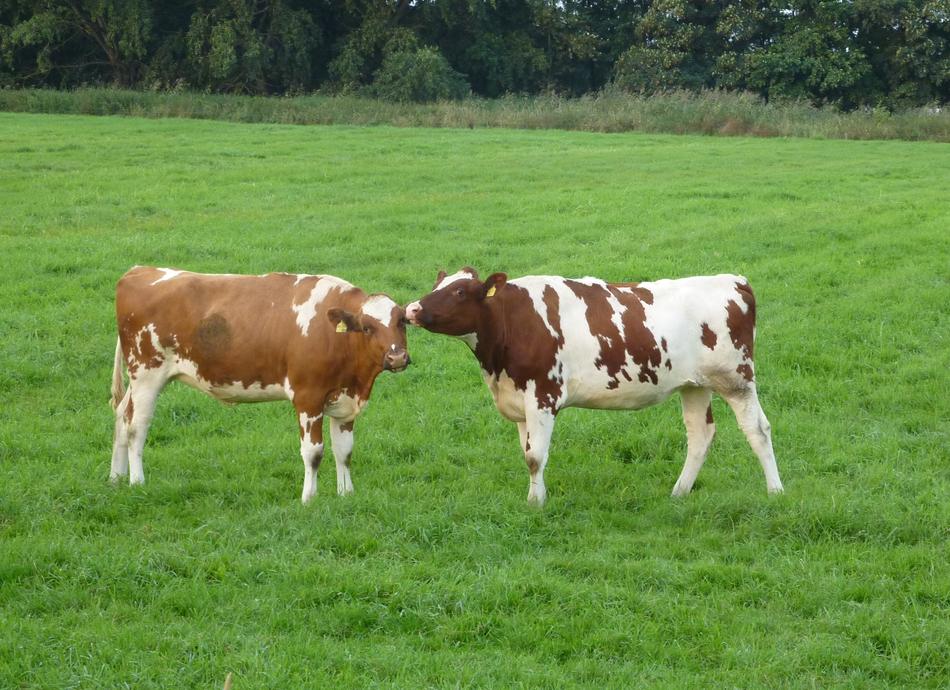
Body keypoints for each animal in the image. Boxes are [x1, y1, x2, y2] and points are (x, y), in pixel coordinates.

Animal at [109, 268, 410, 500]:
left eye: (402, 322)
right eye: (368, 327)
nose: (397, 357)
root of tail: (139, 271)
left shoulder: (345, 400)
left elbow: (344, 451)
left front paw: (346, 494)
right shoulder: (308, 397)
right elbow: (313, 452)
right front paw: (309, 498)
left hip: (138, 380)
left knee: (122, 416)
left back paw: (116, 478)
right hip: (147, 375)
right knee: (136, 427)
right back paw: (137, 482)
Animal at [406, 266, 784, 502]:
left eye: (458, 291)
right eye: (438, 285)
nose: (410, 309)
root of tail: (734, 280)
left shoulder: (543, 395)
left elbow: (535, 456)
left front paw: (535, 503)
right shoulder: (518, 400)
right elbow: (526, 454)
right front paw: (536, 496)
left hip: (736, 377)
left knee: (758, 429)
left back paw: (775, 491)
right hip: (694, 384)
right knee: (700, 435)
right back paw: (679, 492)